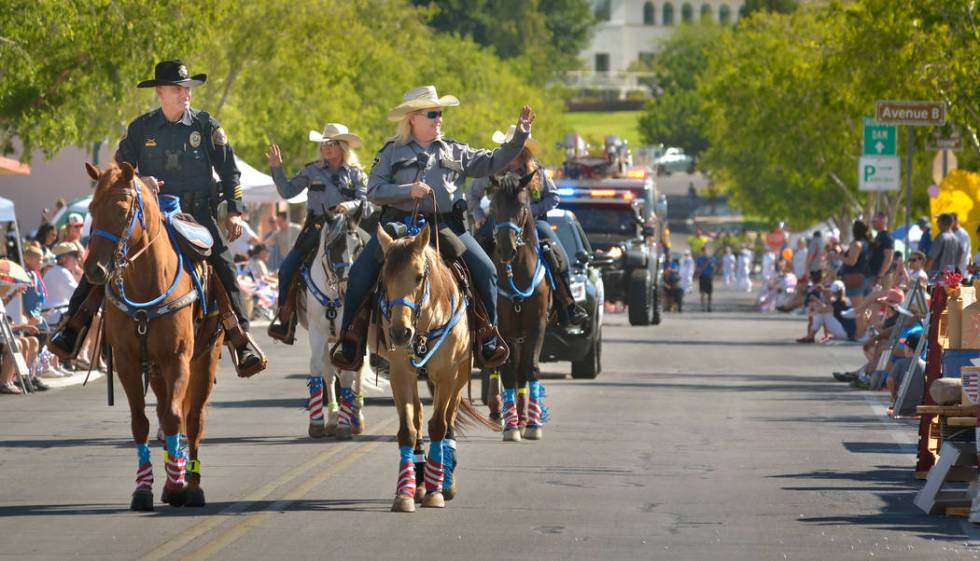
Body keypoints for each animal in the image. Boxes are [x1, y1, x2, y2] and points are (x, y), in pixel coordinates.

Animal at [83, 160, 222, 510]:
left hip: (205, 359)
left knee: (194, 420)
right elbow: (141, 423)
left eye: (121, 211)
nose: (94, 270)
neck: (147, 282)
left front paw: (177, 485)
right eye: (91, 209)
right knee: (164, 412)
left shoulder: (178, 359)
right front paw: (144, 489)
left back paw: (192, 485)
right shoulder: (128, 362)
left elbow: (175, 419)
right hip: (157, 371)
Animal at [296, 203, 370, 440]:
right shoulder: (317, 332)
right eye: (334, 247)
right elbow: (319, 369)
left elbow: (348, 374)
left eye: (358, 247)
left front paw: (346, 425)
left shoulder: (352, 333)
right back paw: (333, 417)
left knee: (358, 369)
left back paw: (356, 416)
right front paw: (319, 422)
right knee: (330, 372)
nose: (348, 288)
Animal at [368, 224, 494, 512]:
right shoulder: (401, 374)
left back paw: (444, 480)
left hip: (460, 375)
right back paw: (420, 481)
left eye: (417, 277)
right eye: (384, 279)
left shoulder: (448, 374)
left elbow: (439, 425)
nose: (400, 332)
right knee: (419, 417)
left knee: (449, 418)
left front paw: (436, 492)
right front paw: (404, 493)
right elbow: (408, 430)